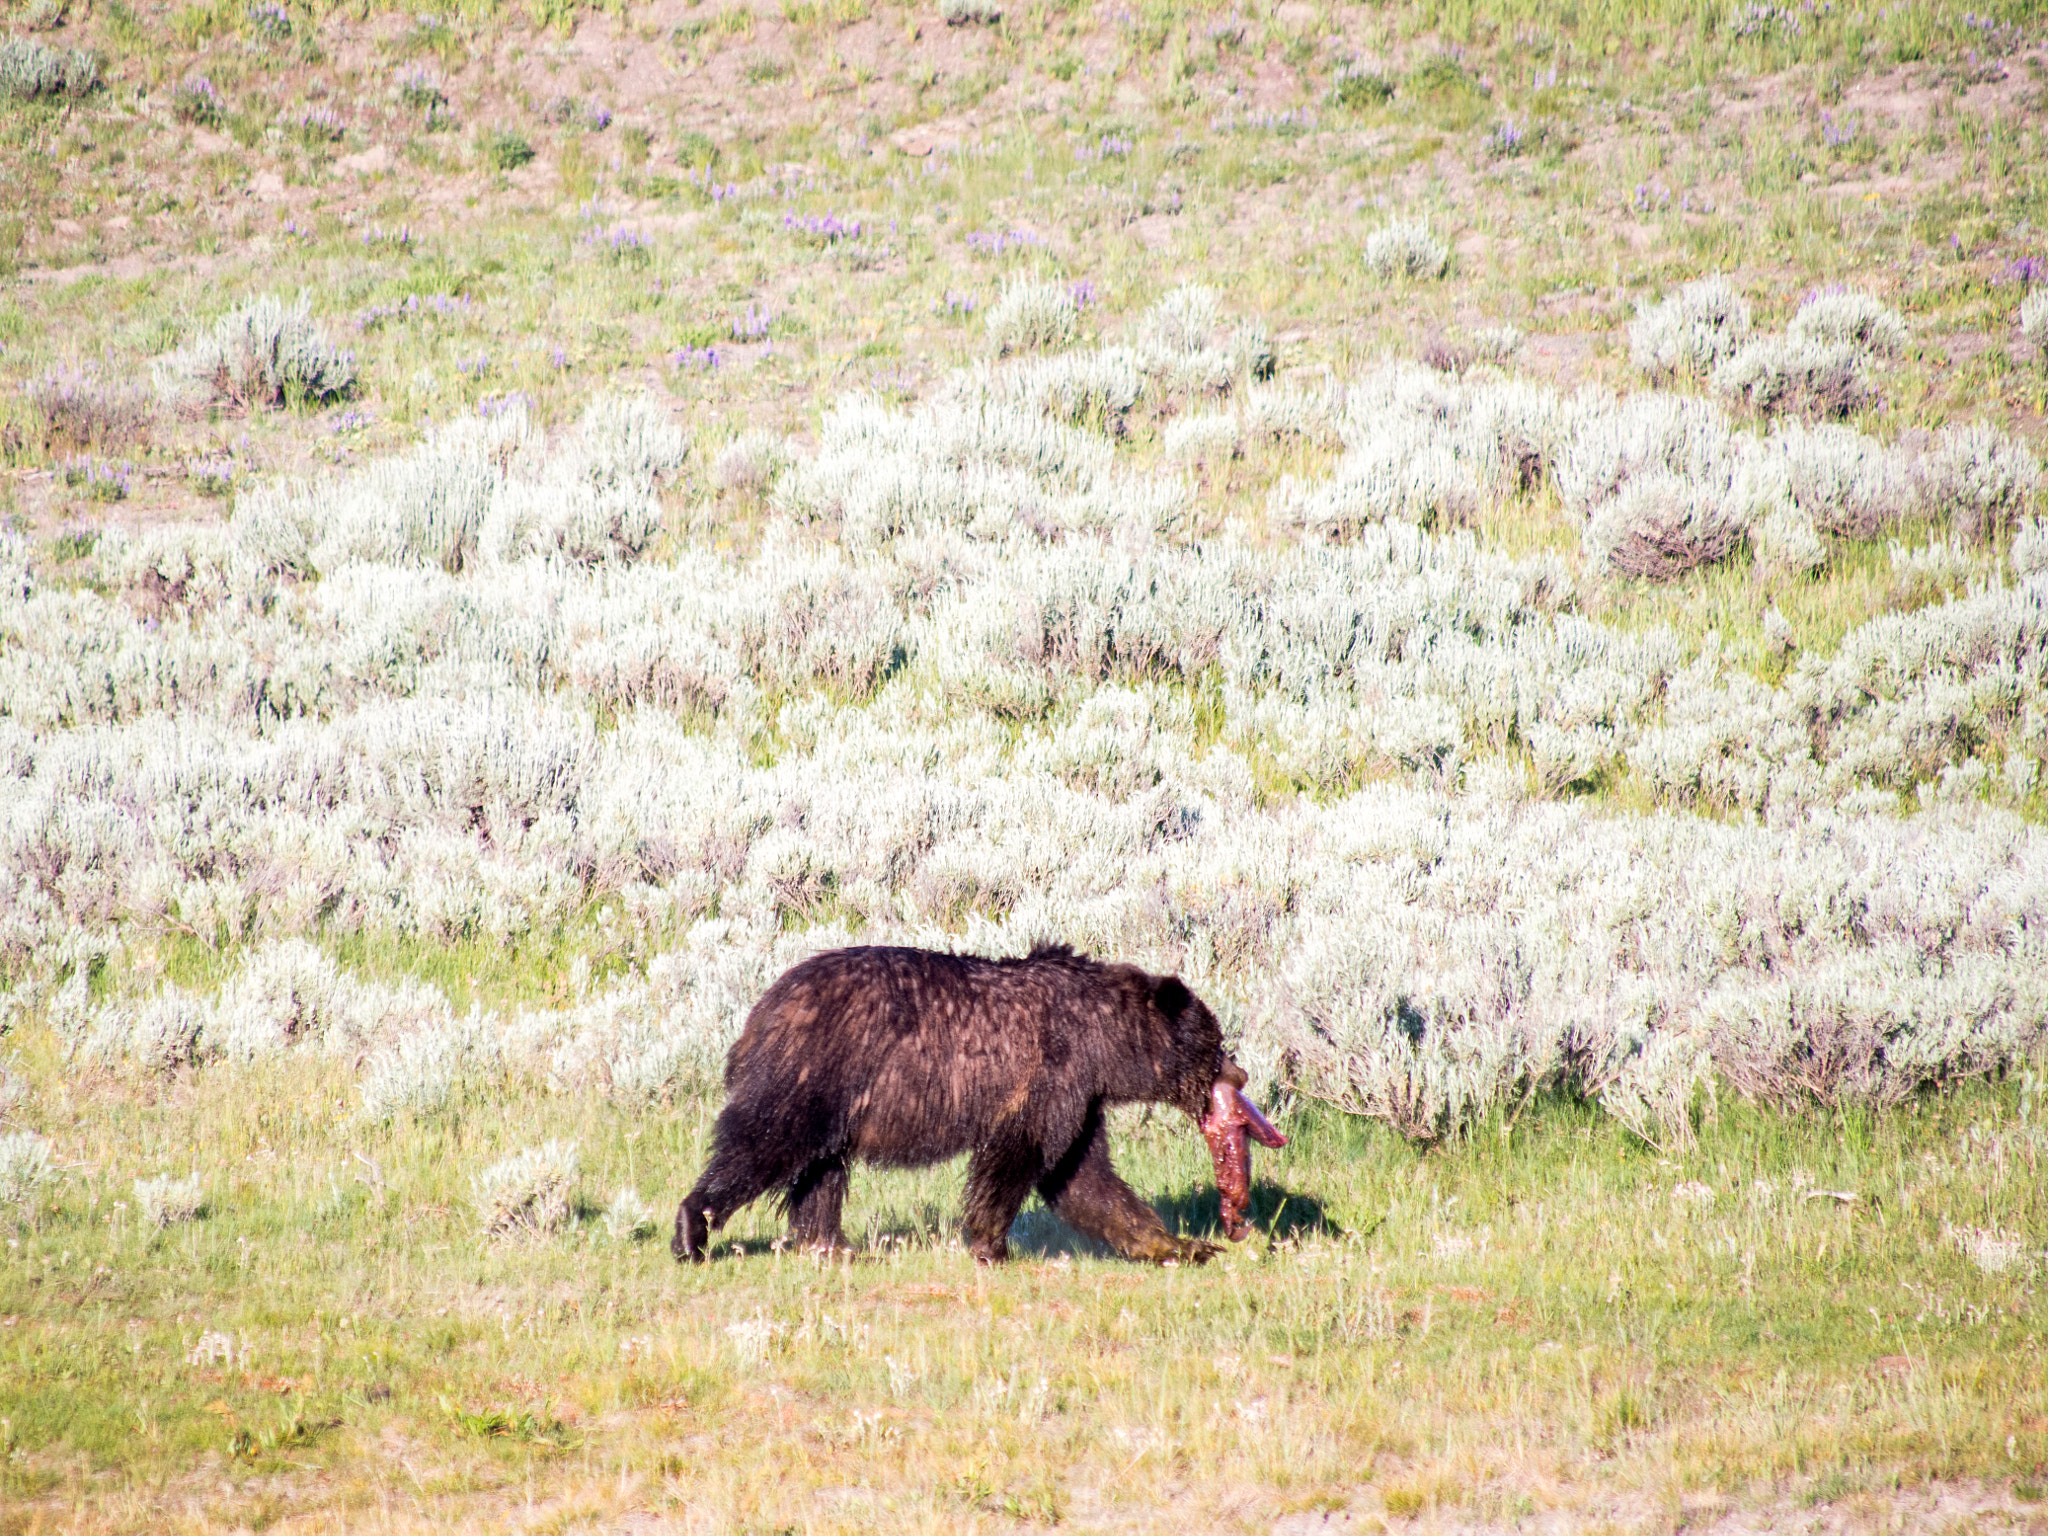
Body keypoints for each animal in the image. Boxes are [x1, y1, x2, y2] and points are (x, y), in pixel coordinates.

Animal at [671, 943, 1282, 1265]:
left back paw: (832, 1245)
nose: (1239, 1071)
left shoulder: (1082, 1098)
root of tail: (761, 1010)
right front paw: (991, 1243)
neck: (1106, 1040)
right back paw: (693, 1228)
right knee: (764, 1142)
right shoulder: (1051, 1077)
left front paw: (1178, 1244)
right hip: (815, 1071)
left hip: (836, 1100)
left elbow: (1085, 1178)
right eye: (1216, 1041)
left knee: (821, 1172)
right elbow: (1021, 1156)